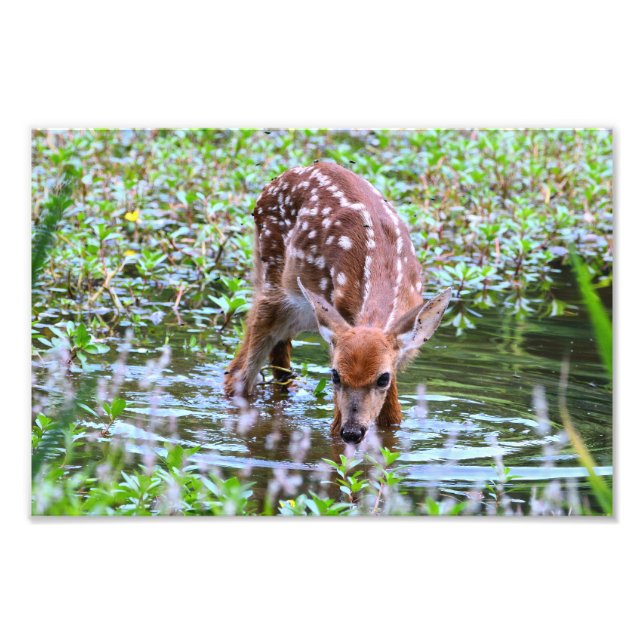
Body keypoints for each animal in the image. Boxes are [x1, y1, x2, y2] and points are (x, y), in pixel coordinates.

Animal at [223, 161, 451, 444]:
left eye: (382, 378)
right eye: (334, 375)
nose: (352, 432)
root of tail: (273, 183)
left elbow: (392, 419)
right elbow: (334, 427)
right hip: (275, 279)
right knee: (240, 373)